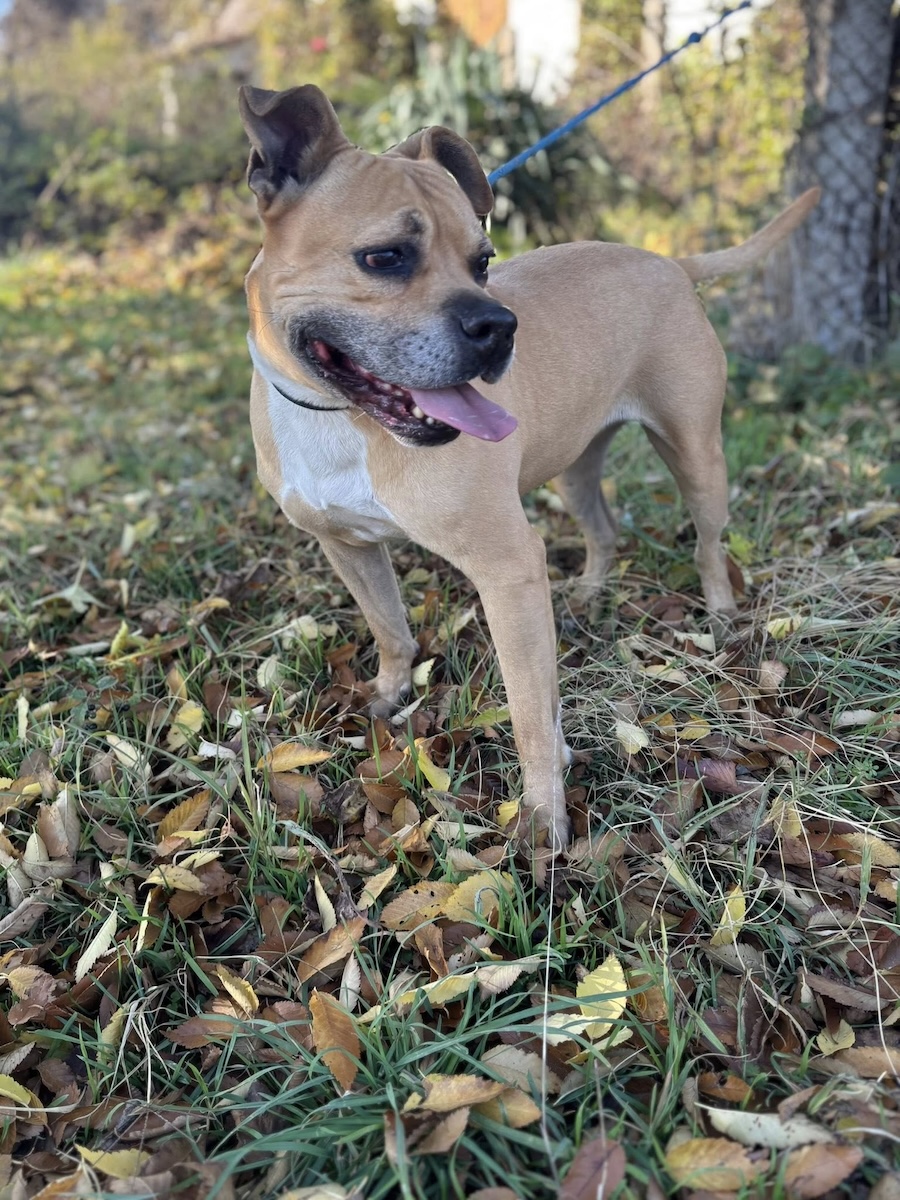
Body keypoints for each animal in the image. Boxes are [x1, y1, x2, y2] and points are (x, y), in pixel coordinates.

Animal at [238, 83, 819, 848]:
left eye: (484, 260)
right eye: (385, 257)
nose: (498, 327)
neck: (338, 417)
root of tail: (669, 263)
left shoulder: (506, 569)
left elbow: (529, 710)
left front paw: (544, 814)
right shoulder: (347, 546)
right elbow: (389, 626)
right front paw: (391, 693)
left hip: (696, 456)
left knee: (708, 543)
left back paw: (721, 619)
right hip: (574, 467)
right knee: (603, 530)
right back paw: (586, 596)